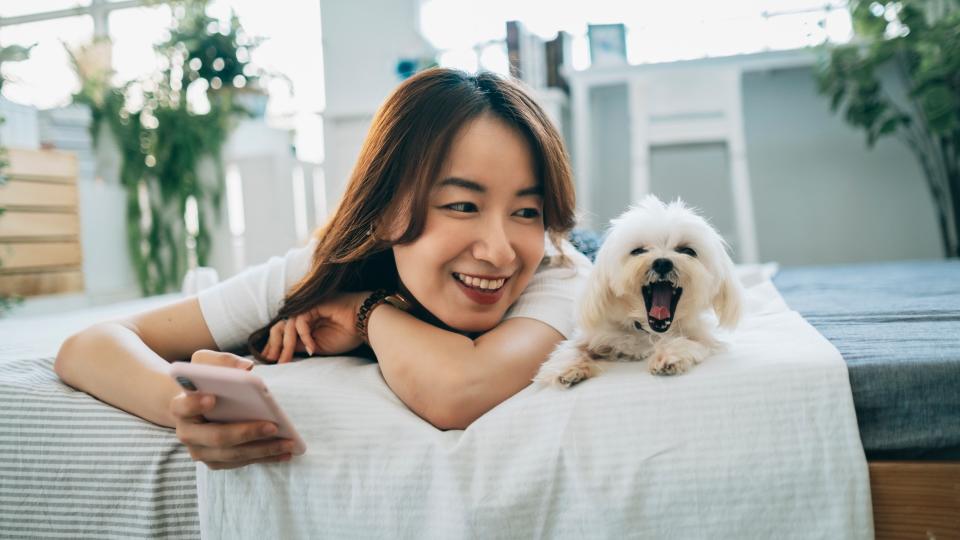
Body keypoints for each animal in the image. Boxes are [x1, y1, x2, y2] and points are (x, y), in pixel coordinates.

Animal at [532, 196, 744, 386]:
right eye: (638, 251)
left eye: (687, 251)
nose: (662, 262)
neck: (646, 330)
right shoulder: (595, 335)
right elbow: (573, 349)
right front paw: (567, 368)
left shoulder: (704, 339)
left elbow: (687, 343)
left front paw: (668, 356)